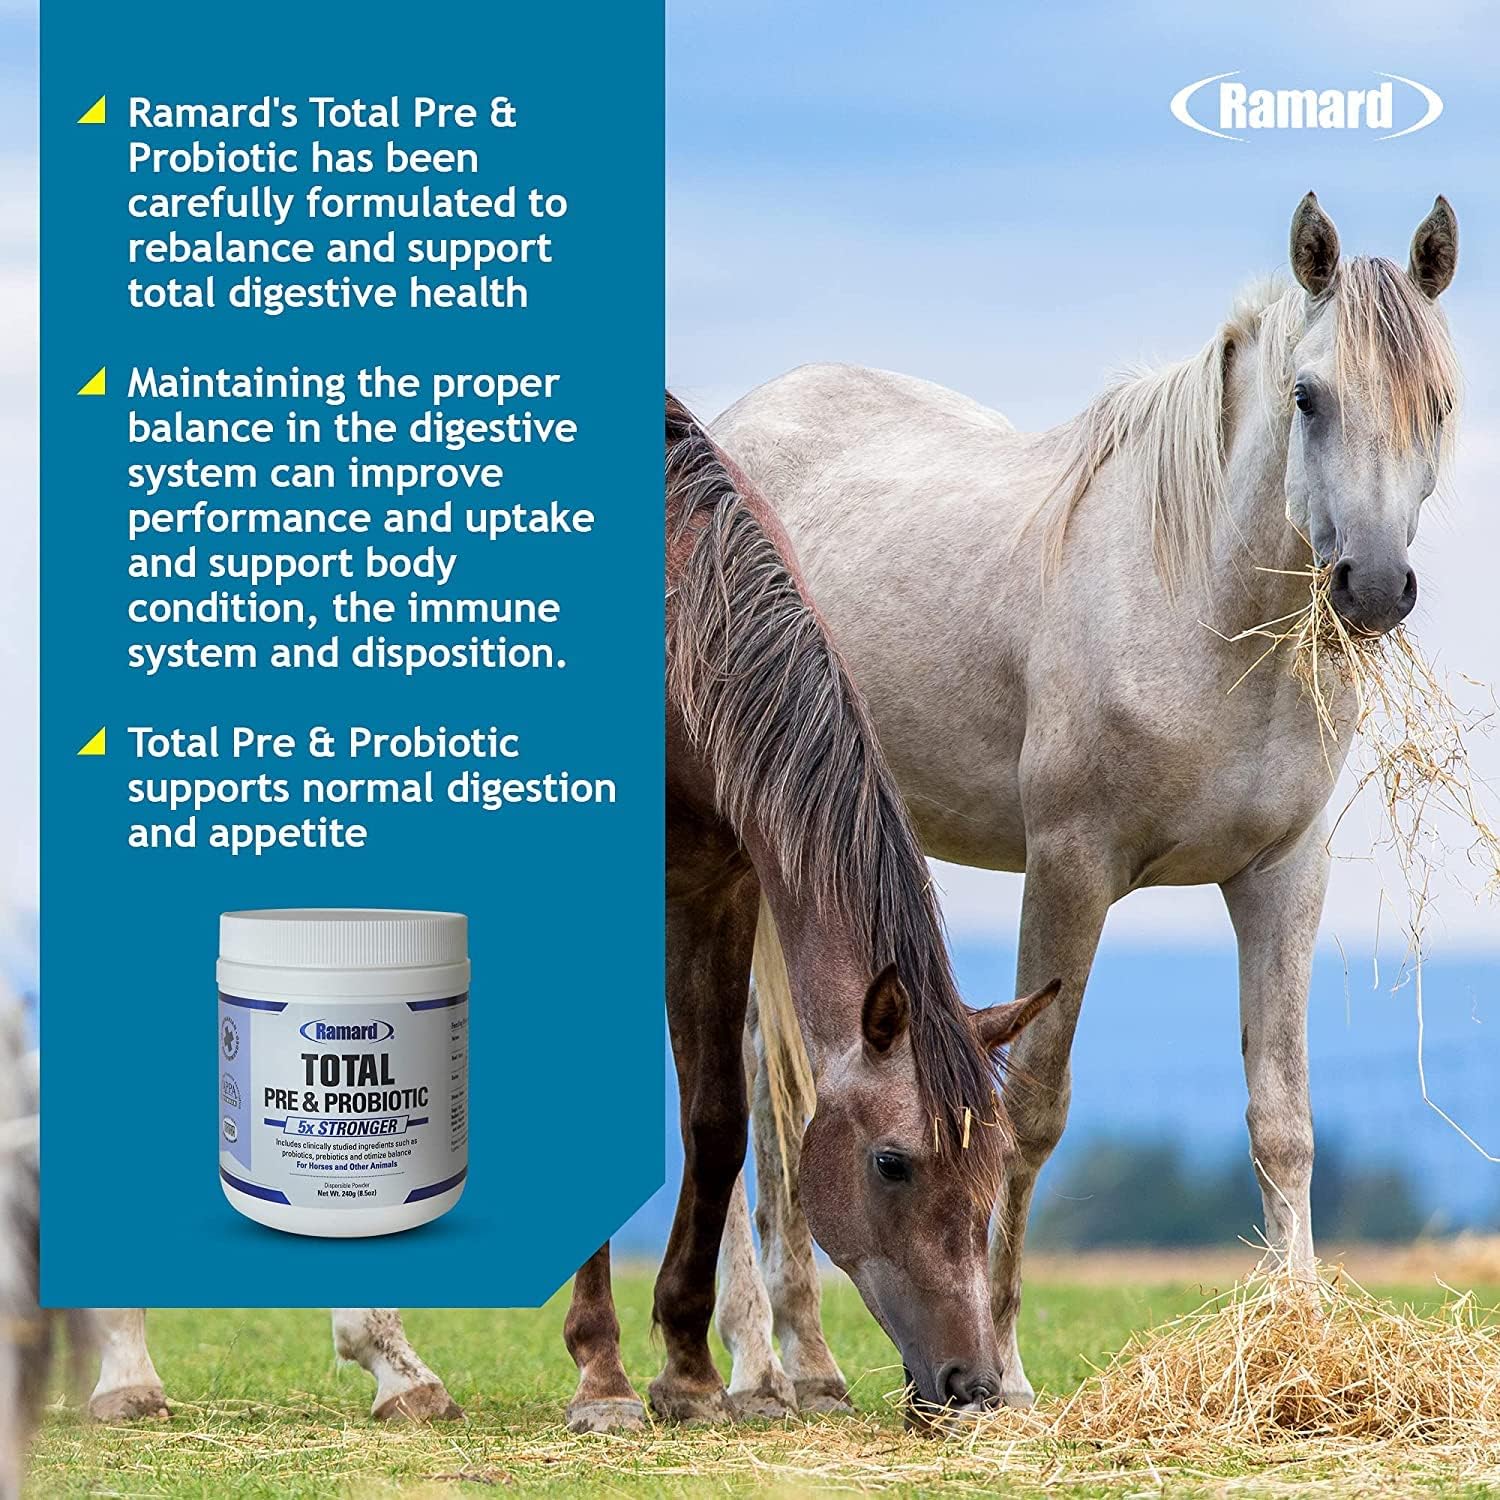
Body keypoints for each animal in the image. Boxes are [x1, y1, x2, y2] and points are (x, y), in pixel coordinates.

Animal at [69, 393, 1060, 1434]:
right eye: (891, 1163)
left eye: (995, 1164)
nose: (971, 1386)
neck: (672, 627)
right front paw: (604, 1378)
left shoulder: (716, 890)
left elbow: (716, 1120)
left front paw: (688, 1372)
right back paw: (141, 1368)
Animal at [709, 193, 1462, 1409]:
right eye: (1309, 396)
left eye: (1439, 404)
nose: (1376, 586)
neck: (1195, 602)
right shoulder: (1072, 867)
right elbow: (1030, 1114)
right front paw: (1009, 1371)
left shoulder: (1282, 876)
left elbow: (1284, 1118)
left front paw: (1303, 1342)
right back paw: (749, 1362)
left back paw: (805, 1366)